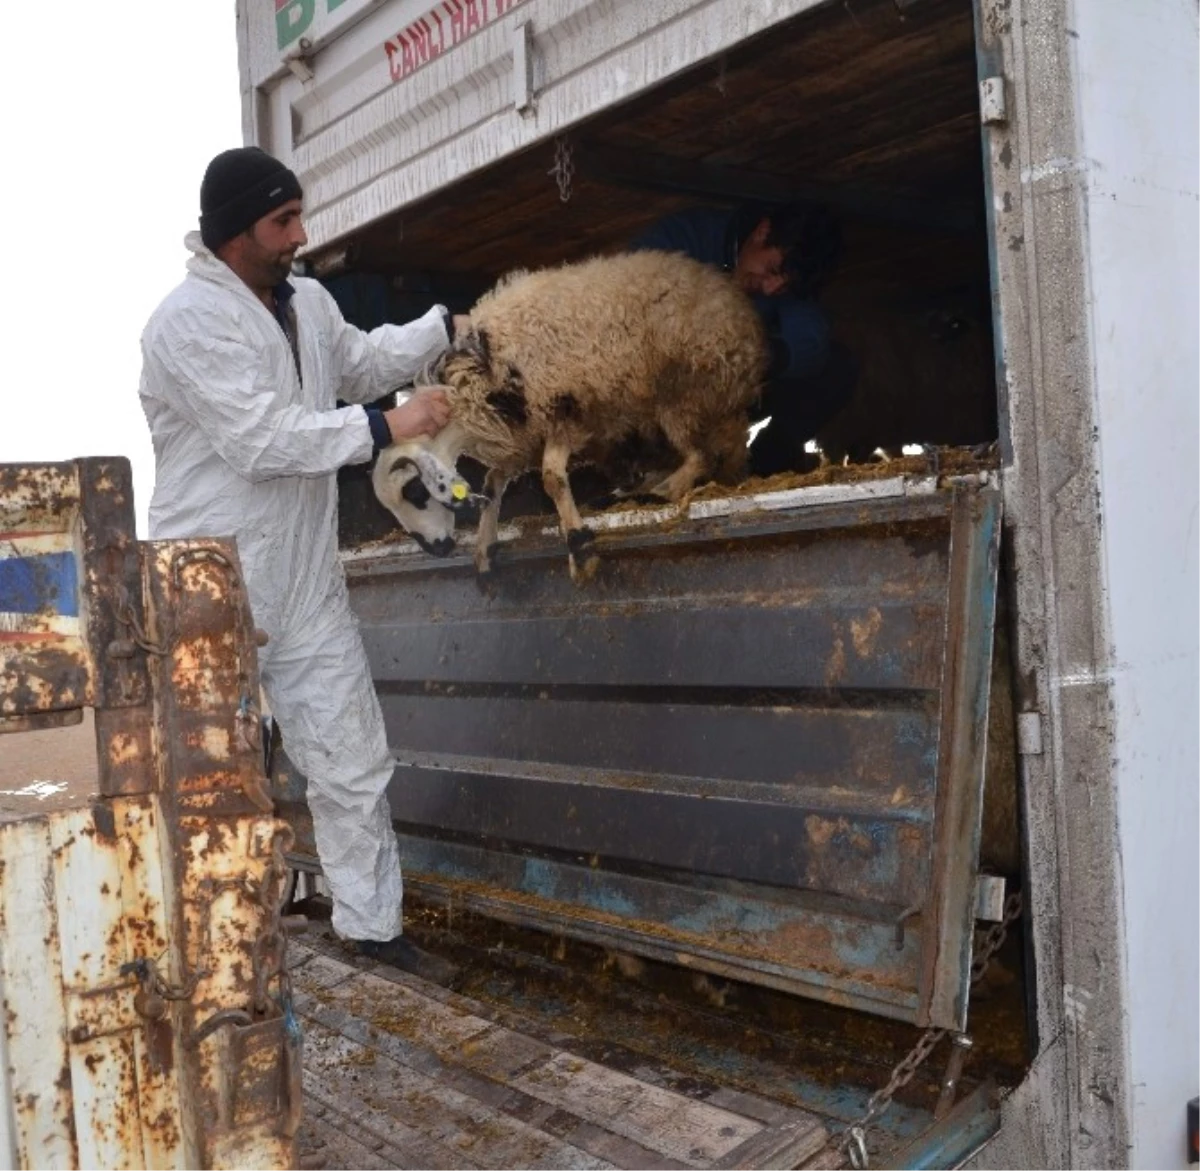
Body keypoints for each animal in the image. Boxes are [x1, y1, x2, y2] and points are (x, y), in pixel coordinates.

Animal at [374, 256, 768, 585]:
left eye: (414, 490)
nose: (436, 549)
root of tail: (733, 296)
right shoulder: (525, 438)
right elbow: (492, 483)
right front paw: (485, 553)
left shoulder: (565, 413)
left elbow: (551, 477)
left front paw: (580, 549)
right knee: (726, 448)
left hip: (684, 391)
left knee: (700, 454)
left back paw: (663, 490)